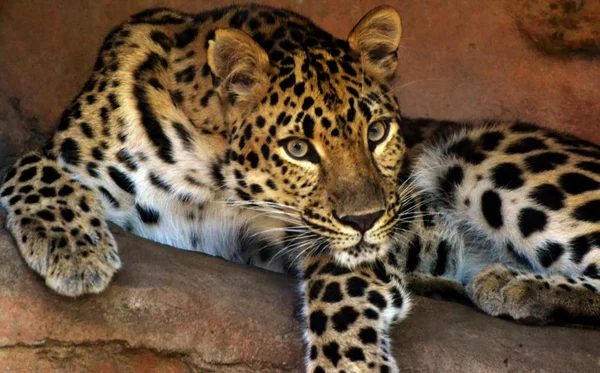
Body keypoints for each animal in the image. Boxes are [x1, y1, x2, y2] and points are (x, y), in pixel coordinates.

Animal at [1, 3, 600, 372]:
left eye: (377, 132)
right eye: (297, 148)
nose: (365, 221)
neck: (211, 174)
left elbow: (342, 287)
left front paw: (351, 364)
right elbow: (24, 163)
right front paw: (75, 251)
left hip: (481, 155)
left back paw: (509, 282)